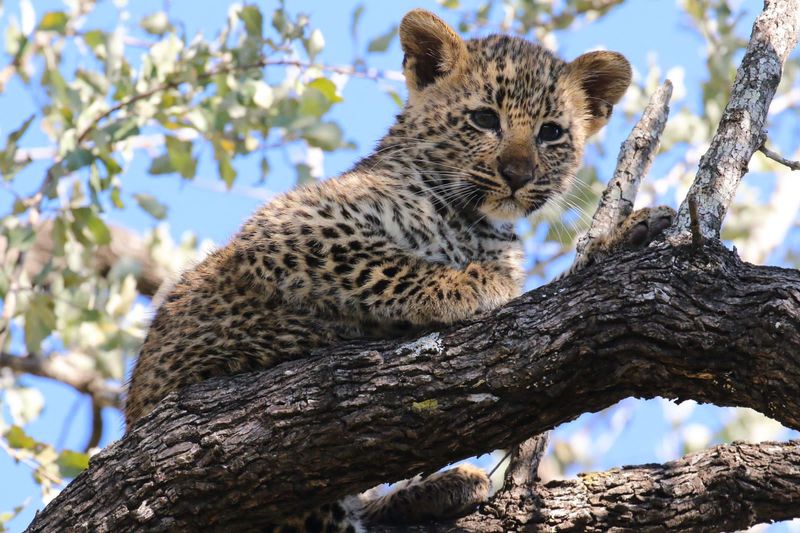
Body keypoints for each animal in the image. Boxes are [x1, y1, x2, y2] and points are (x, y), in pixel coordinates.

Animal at [125, 8, 674, 532]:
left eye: (551, 133)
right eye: (484, 118)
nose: (518, 175)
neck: (477, 223)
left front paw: (627, 233)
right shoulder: (288, 227)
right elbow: (384, 263)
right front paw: (472, 283)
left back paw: (449, 486)